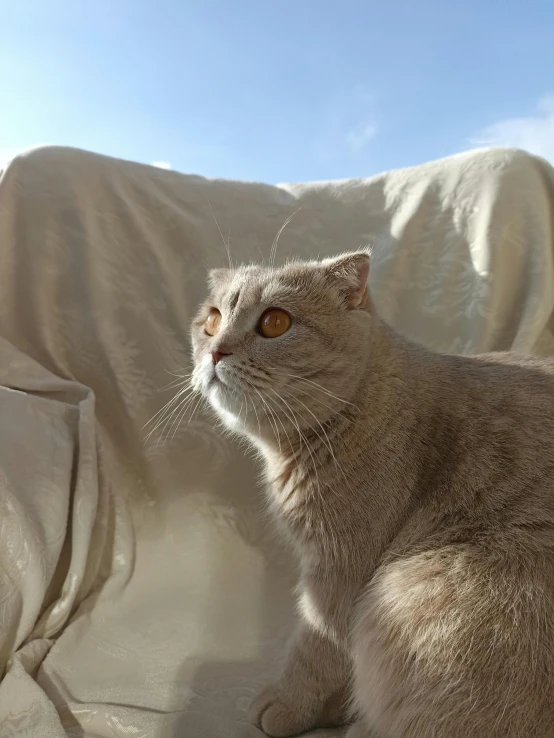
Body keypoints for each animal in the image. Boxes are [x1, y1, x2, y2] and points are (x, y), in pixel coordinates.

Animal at [190, 250, 552, 732]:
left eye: (274, 322)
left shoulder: (340, 571)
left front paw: (287, 706)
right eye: (211, 320)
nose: (216, 350)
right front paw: (331, 707)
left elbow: (315, 650)